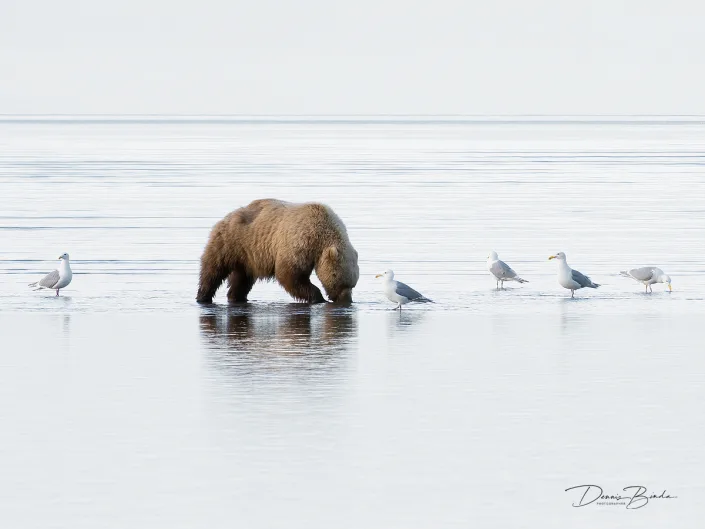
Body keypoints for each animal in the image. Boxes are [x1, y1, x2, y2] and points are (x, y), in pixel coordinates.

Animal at [196, 199, 359, 304]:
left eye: (353, 284)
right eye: (337, 278)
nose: (346, 300)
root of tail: (228, 215)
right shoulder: (299, 242)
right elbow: (289, 274)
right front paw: (317, 297)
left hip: (247, 255)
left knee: (242, 278)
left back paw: (236, 296)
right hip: (231, 240)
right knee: (213, 268)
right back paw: (203, 296)